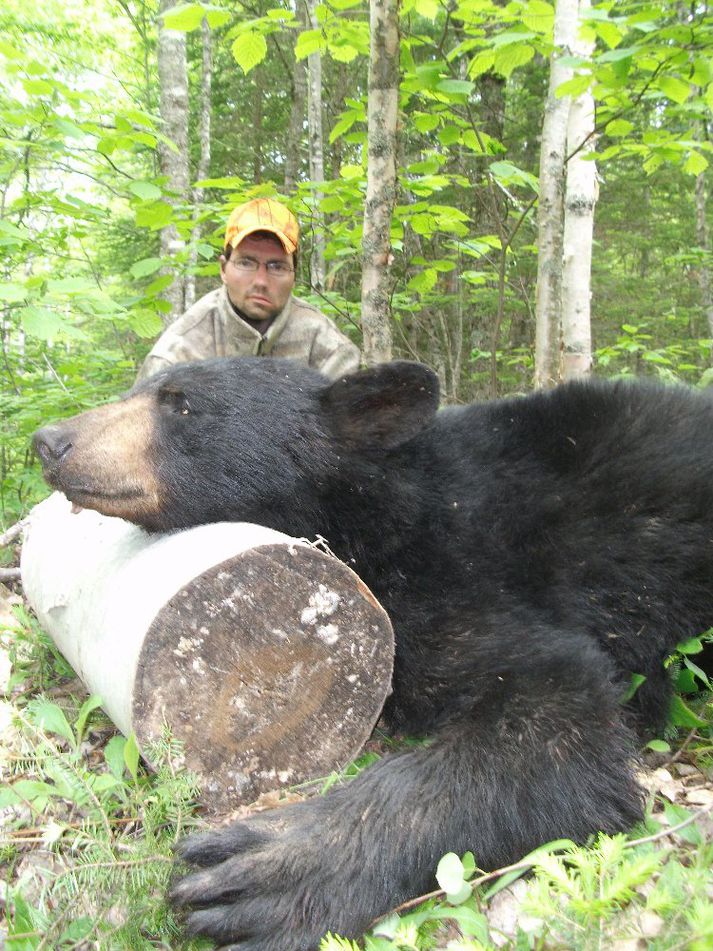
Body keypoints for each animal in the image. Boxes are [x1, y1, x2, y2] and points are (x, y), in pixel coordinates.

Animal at [32, 358, 712, 951]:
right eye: (141, 386)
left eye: (181, 404)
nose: (49, 440)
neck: (383, 508)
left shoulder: (457, 573)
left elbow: (559, 705)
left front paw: (276, 865)